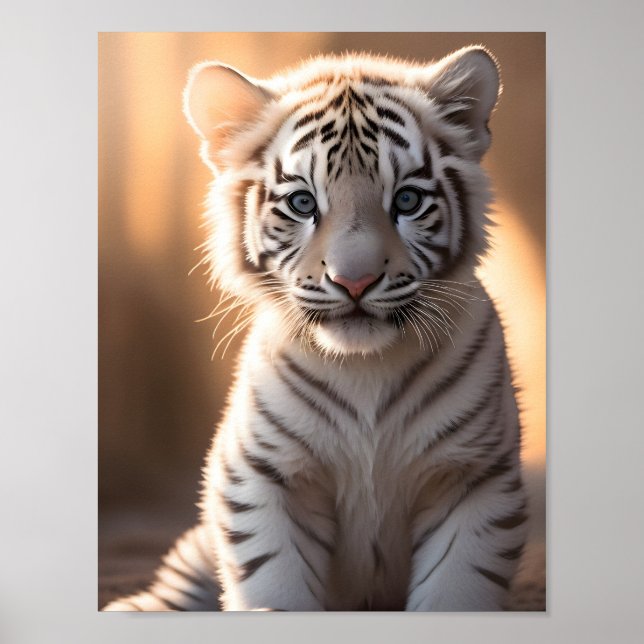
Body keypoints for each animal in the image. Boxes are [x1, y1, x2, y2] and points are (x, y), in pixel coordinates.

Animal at [103, 45, 529, 612]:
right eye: (303, 203)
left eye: (407, 201)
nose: (355, 280)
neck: (366, 367)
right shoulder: (263, 474)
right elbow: (272, 584)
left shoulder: (474, 477)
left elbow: (454, 590)